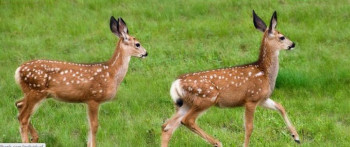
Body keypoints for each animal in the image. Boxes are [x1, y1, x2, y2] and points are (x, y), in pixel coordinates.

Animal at [13, 16, 148, 147]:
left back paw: (35, 138)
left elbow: (89, 126)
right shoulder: (93, 98)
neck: (111, 73)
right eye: (137, 44)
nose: (146, 53)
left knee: (18, 105)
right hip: (36, 91)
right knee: (23, 117)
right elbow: (94, 126)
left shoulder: (87, 101)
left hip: (34, 93)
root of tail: (18, 70)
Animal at [161, 10, 300, 147]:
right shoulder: (251, 98)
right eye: (282, 37)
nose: (293, 44)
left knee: (167, 126)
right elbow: (249, 127)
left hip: (185, 103)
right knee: (186, 121)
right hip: (205, 98)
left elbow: (280, 106)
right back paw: (217, 142)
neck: (264, 72)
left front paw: (296, 137)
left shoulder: (262, 98)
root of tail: (176, 83)